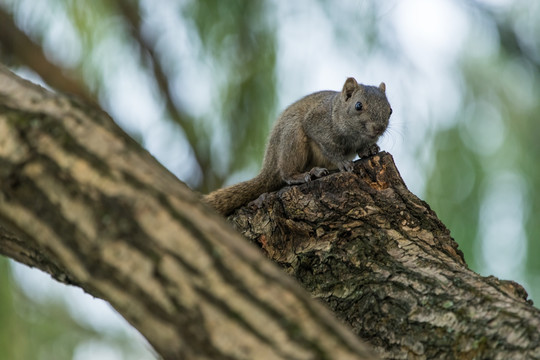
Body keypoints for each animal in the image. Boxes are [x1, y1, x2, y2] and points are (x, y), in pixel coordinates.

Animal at [202, 77, 392, 215]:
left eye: (390, 110)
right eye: (358, 105)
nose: (379, 128)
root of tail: (269, 165)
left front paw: (369, 149)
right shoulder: (316, 123)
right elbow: (329, 149)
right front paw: (343, 162)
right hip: (292, 137)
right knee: (286, 173)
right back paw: (306, 174)